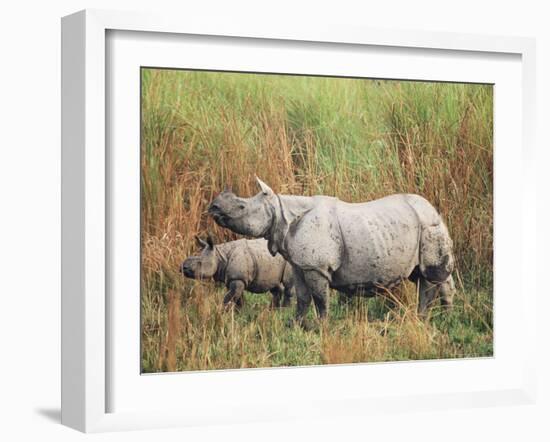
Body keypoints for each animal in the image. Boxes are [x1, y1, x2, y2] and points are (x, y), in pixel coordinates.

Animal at [207, 177, 458, 322]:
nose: (213, 207)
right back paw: (442, 318)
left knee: (430, 275)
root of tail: (434, 209)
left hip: (428, 224)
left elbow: (320, 299)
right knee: (425, 275)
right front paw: (296, 325)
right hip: (421, 224)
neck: (280, 213)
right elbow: (303, 298)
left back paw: (427, 319)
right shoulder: (300, 265)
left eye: (241, 206)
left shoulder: (315, 267)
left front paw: (322, 327)